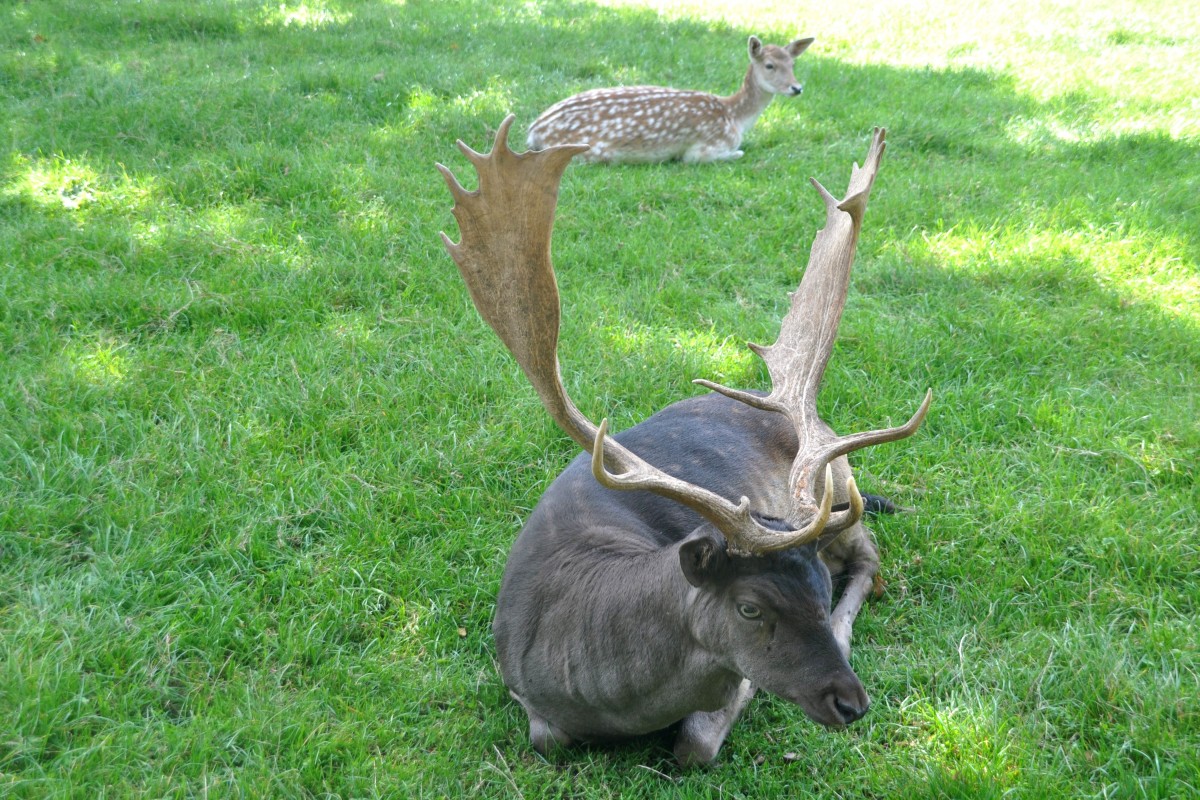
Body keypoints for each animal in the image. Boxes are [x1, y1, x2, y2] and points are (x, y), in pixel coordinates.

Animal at [436, 115, 931, 767]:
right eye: (751, 607)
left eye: (821, 593)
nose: (851, 702)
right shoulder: (524, 697)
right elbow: (550, 739)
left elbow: (695, 744)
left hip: (843, 492)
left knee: (871, 556)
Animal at [532, 35, 820, 163]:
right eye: (770, 65)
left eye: (793, 63)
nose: (797, 88)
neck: (734, 117)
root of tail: (534, 131)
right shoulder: (704, 148)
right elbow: (733, 153)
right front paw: (737, 151)